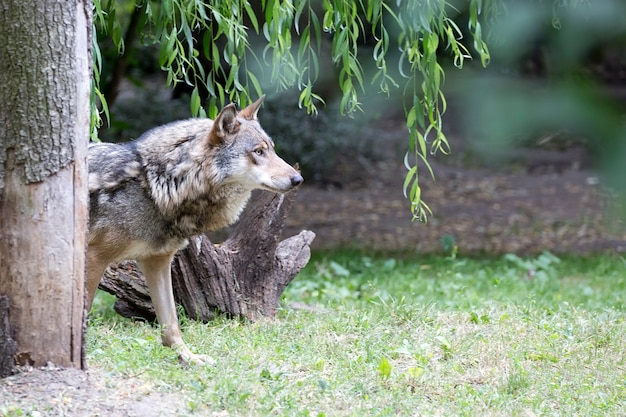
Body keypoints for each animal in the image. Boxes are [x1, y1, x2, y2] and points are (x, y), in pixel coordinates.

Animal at [87, 96, 302, 364]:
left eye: (272, 149)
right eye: (258, 152)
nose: (298, 179)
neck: (156, 186)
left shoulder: (156, 262)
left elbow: (171, 324)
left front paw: (188, 357)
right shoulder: (94, 258)